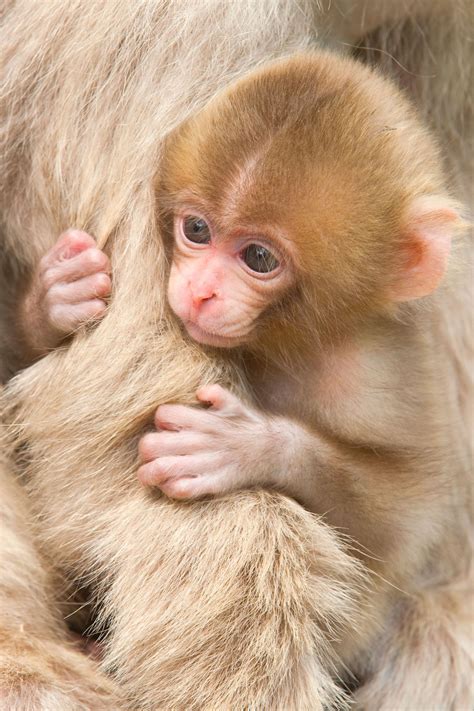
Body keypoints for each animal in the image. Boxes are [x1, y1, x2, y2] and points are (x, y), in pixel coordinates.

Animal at [0, 1, 472, 709]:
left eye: (258, 258)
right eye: (197, 230)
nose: (200, 290)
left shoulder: (374, 378)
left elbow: (399, 515)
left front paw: (246, 447)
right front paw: (57, 299)